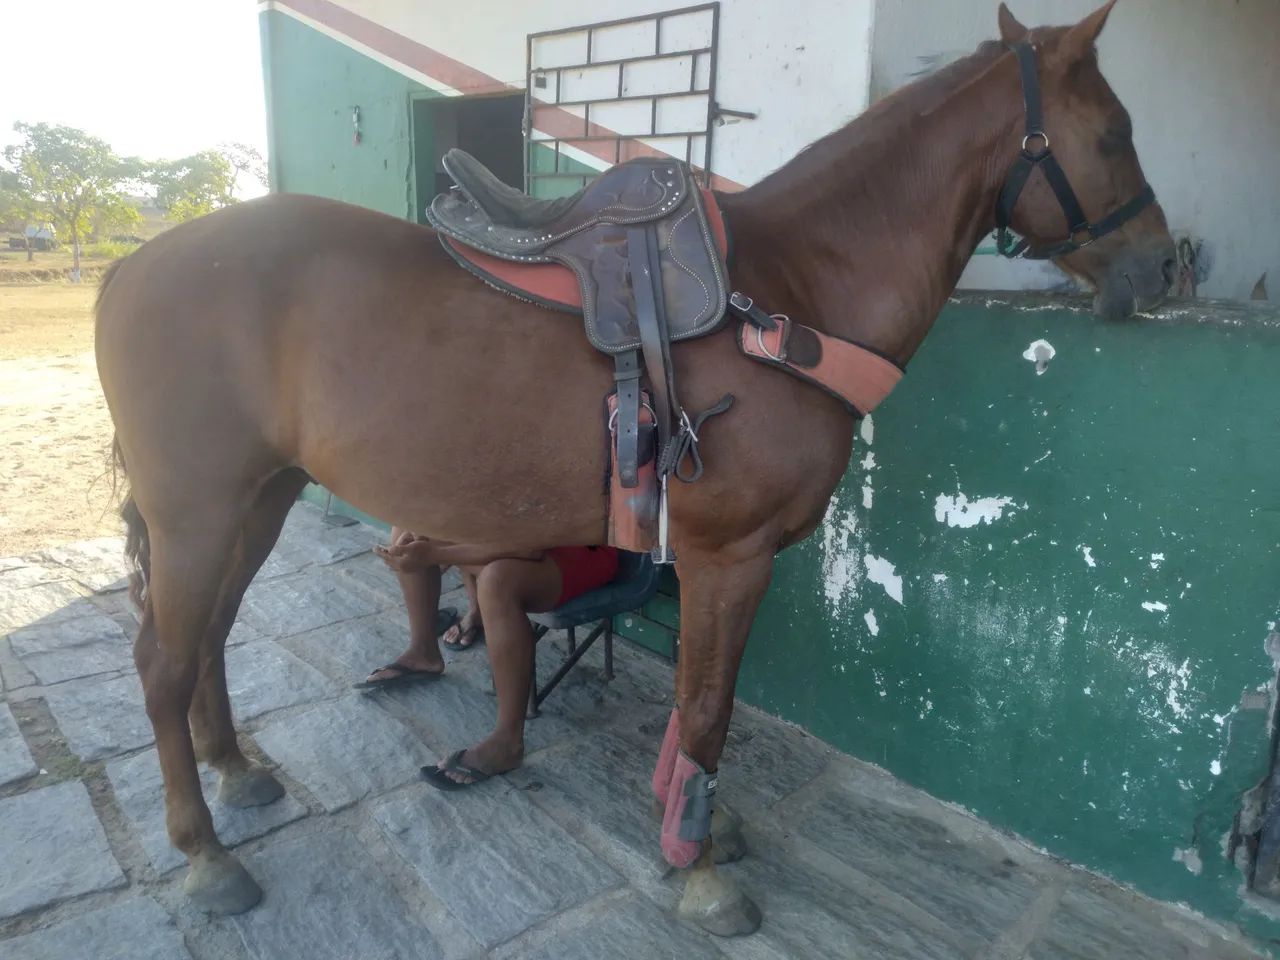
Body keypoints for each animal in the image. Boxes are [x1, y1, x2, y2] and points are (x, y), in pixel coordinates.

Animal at [95, 1, 1173, 936]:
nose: (1167, 267)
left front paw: (695, 823)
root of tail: (133, 264)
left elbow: (700, 698)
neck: (785, 300)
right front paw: (696, 867)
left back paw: (235, 770)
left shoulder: (708, 559)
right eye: (1114, 132)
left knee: (209, 638)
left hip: (258, 501)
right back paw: (205, 854)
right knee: (161, 662)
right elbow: (706, 708)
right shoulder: (730, 555)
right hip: (198, 514)